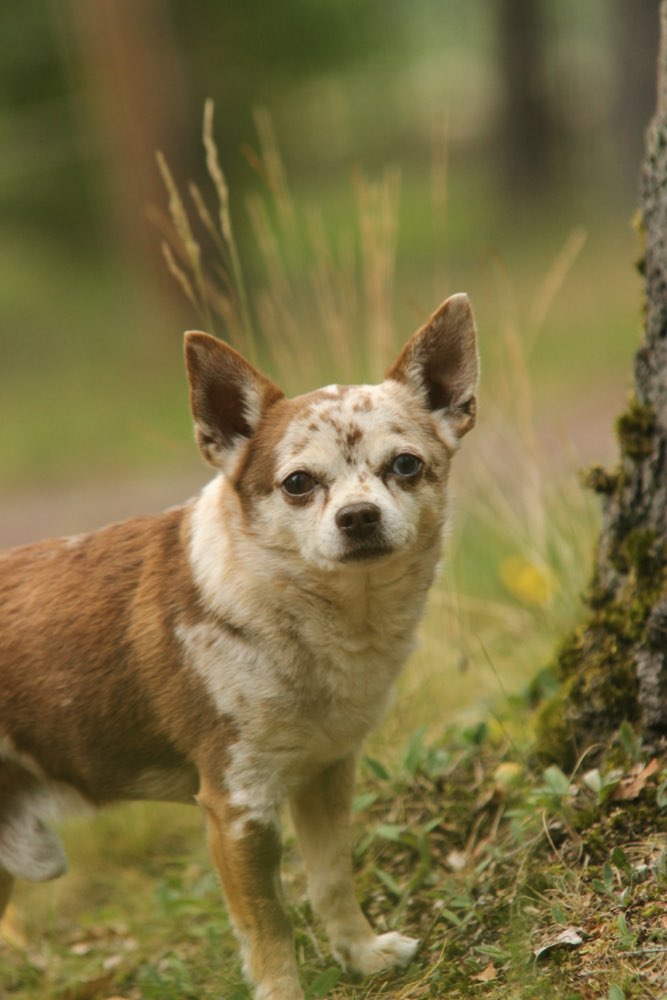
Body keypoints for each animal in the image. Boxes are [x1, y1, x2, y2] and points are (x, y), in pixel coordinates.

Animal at [0, 292, 480, 996]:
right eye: (298, 483)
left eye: (406, 465)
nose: (358, 517)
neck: (322, 623)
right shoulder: (237, 809)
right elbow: (268, 927)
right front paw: (287, 989)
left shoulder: (327, 773)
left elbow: (331, 879)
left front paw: (361, 955)